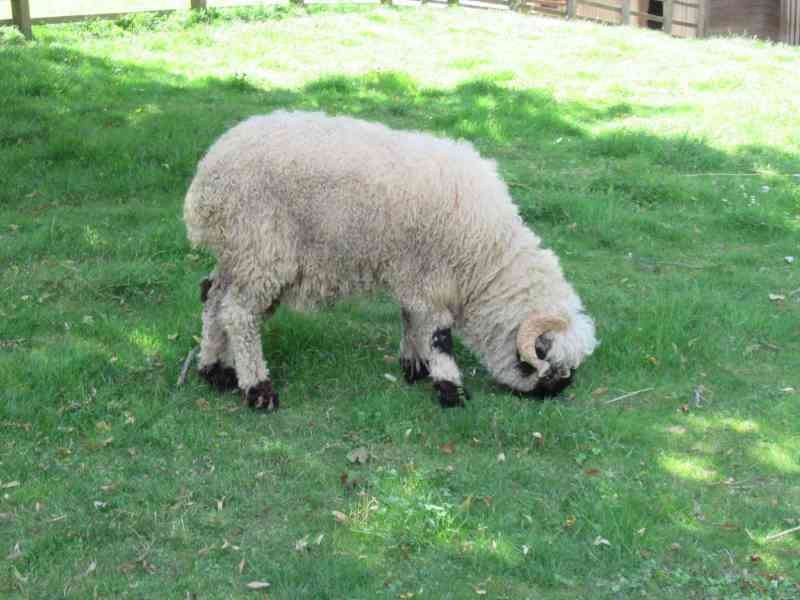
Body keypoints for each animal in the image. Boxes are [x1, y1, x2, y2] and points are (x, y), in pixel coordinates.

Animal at [184, 111, 597, 411]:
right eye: (548, 363)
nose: (556, 394)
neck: (485, 257)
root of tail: (206, 177)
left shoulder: (413, 273)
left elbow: (411, 316)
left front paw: (414, 364)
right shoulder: (432, 277)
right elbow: (439, 334)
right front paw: (450, 388)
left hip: (239, 252)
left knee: (213, 297)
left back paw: (214, 370)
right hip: (263, 249)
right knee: (240, 314)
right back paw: (257, 387)